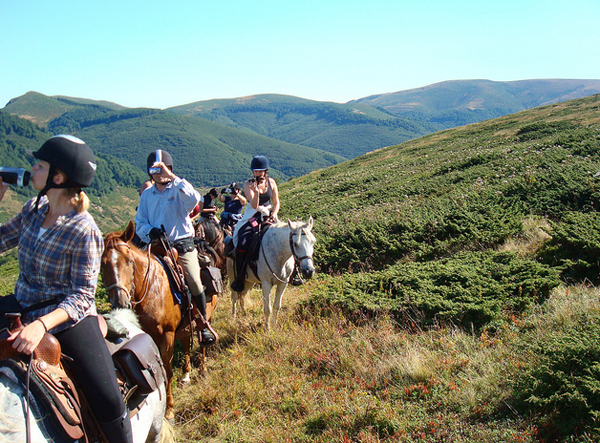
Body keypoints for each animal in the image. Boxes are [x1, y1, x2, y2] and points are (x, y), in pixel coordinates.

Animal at [101, 221, 218, 420]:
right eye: (102, 266)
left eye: (129, 261)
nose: (120, 302)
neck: (150, 290)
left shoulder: (167, 335)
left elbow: (167, 372)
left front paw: (169, 409)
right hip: (184, 327)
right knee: (186, 345)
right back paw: (186, 375)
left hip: (204, 316)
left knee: (202, 340)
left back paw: (202, 369)